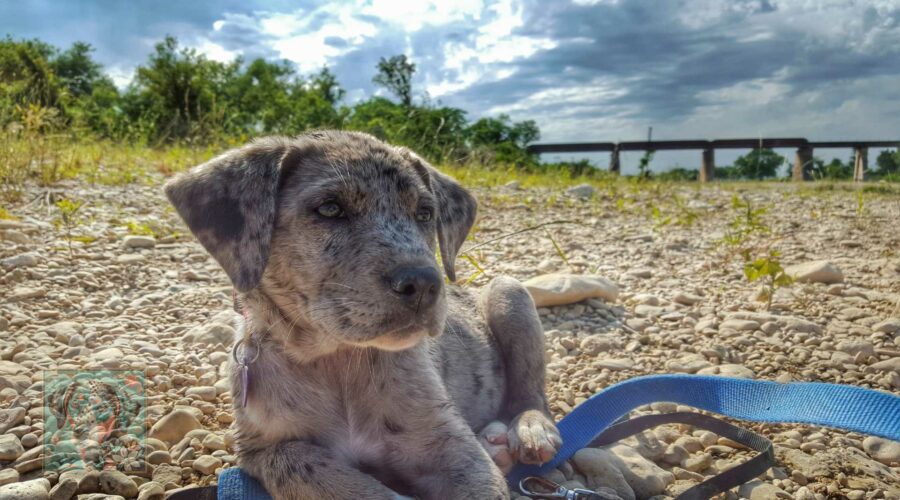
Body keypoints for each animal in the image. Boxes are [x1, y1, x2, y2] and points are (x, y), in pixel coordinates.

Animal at [165, 131, 560, 498]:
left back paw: (530, 429)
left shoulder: (451, 445)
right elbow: (315, 472)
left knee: (531, 392)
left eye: (425, 213)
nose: (424, 283)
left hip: (509, 293)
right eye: (329, 208)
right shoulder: (261, 449)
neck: (338, 360)